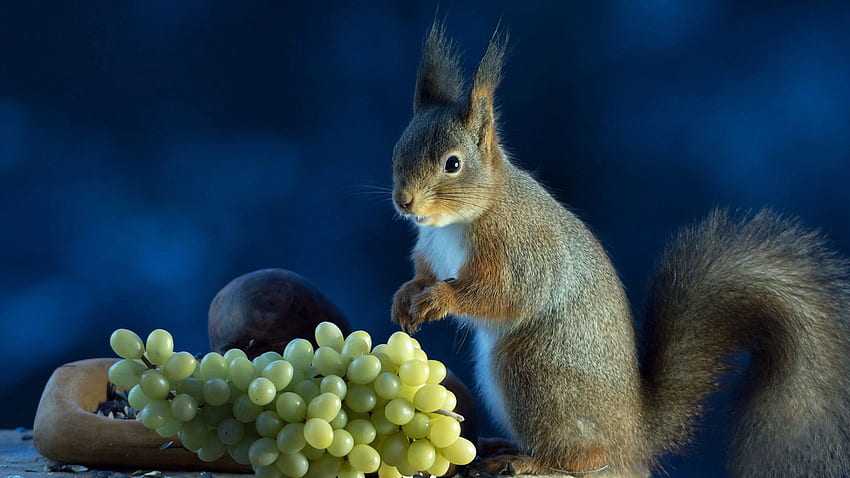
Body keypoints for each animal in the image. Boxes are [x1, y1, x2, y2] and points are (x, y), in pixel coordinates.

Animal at [390, 23, 848, 478]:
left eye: (452, 163)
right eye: (397, 150)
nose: (404, 202)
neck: (458, 221)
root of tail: (634, 439)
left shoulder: (521, 248)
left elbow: (505, 294)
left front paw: (441, 299)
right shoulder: (431, 251)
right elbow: (424, 274)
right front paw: (406, 296)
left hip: (534, 371)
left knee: (587, 458)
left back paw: (529, 462)